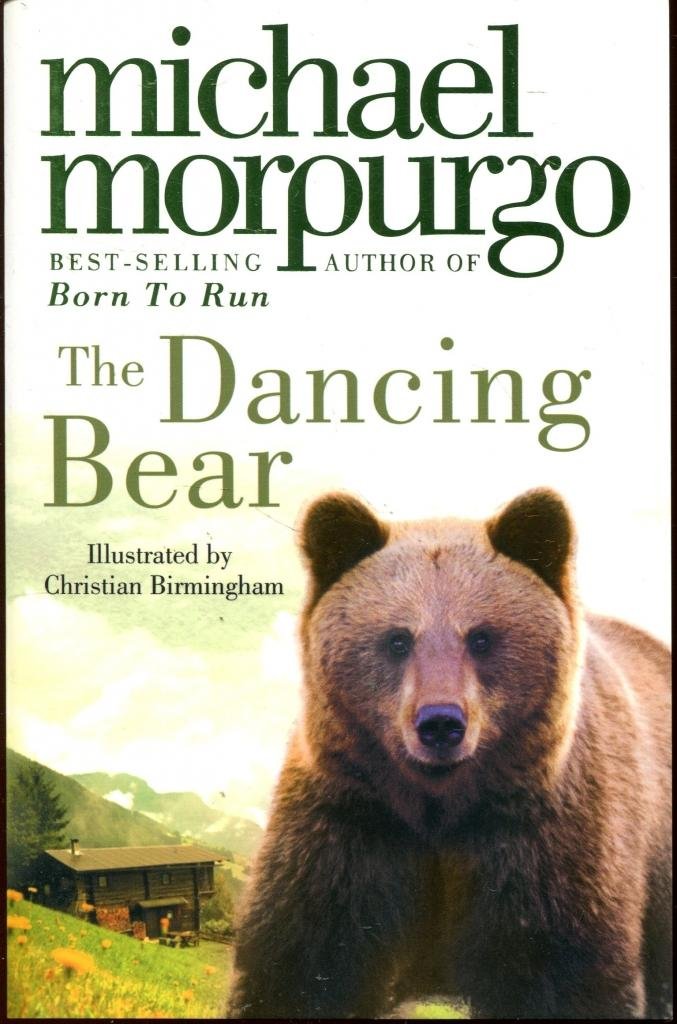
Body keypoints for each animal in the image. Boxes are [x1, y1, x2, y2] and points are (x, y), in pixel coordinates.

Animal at [227, 489, 672, 1019]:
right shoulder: (348, 823)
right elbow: (303, 965)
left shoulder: (544, 838)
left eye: (480, 636)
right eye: (398, 638)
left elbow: (565, 974)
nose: (440, 723)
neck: (439, 807)